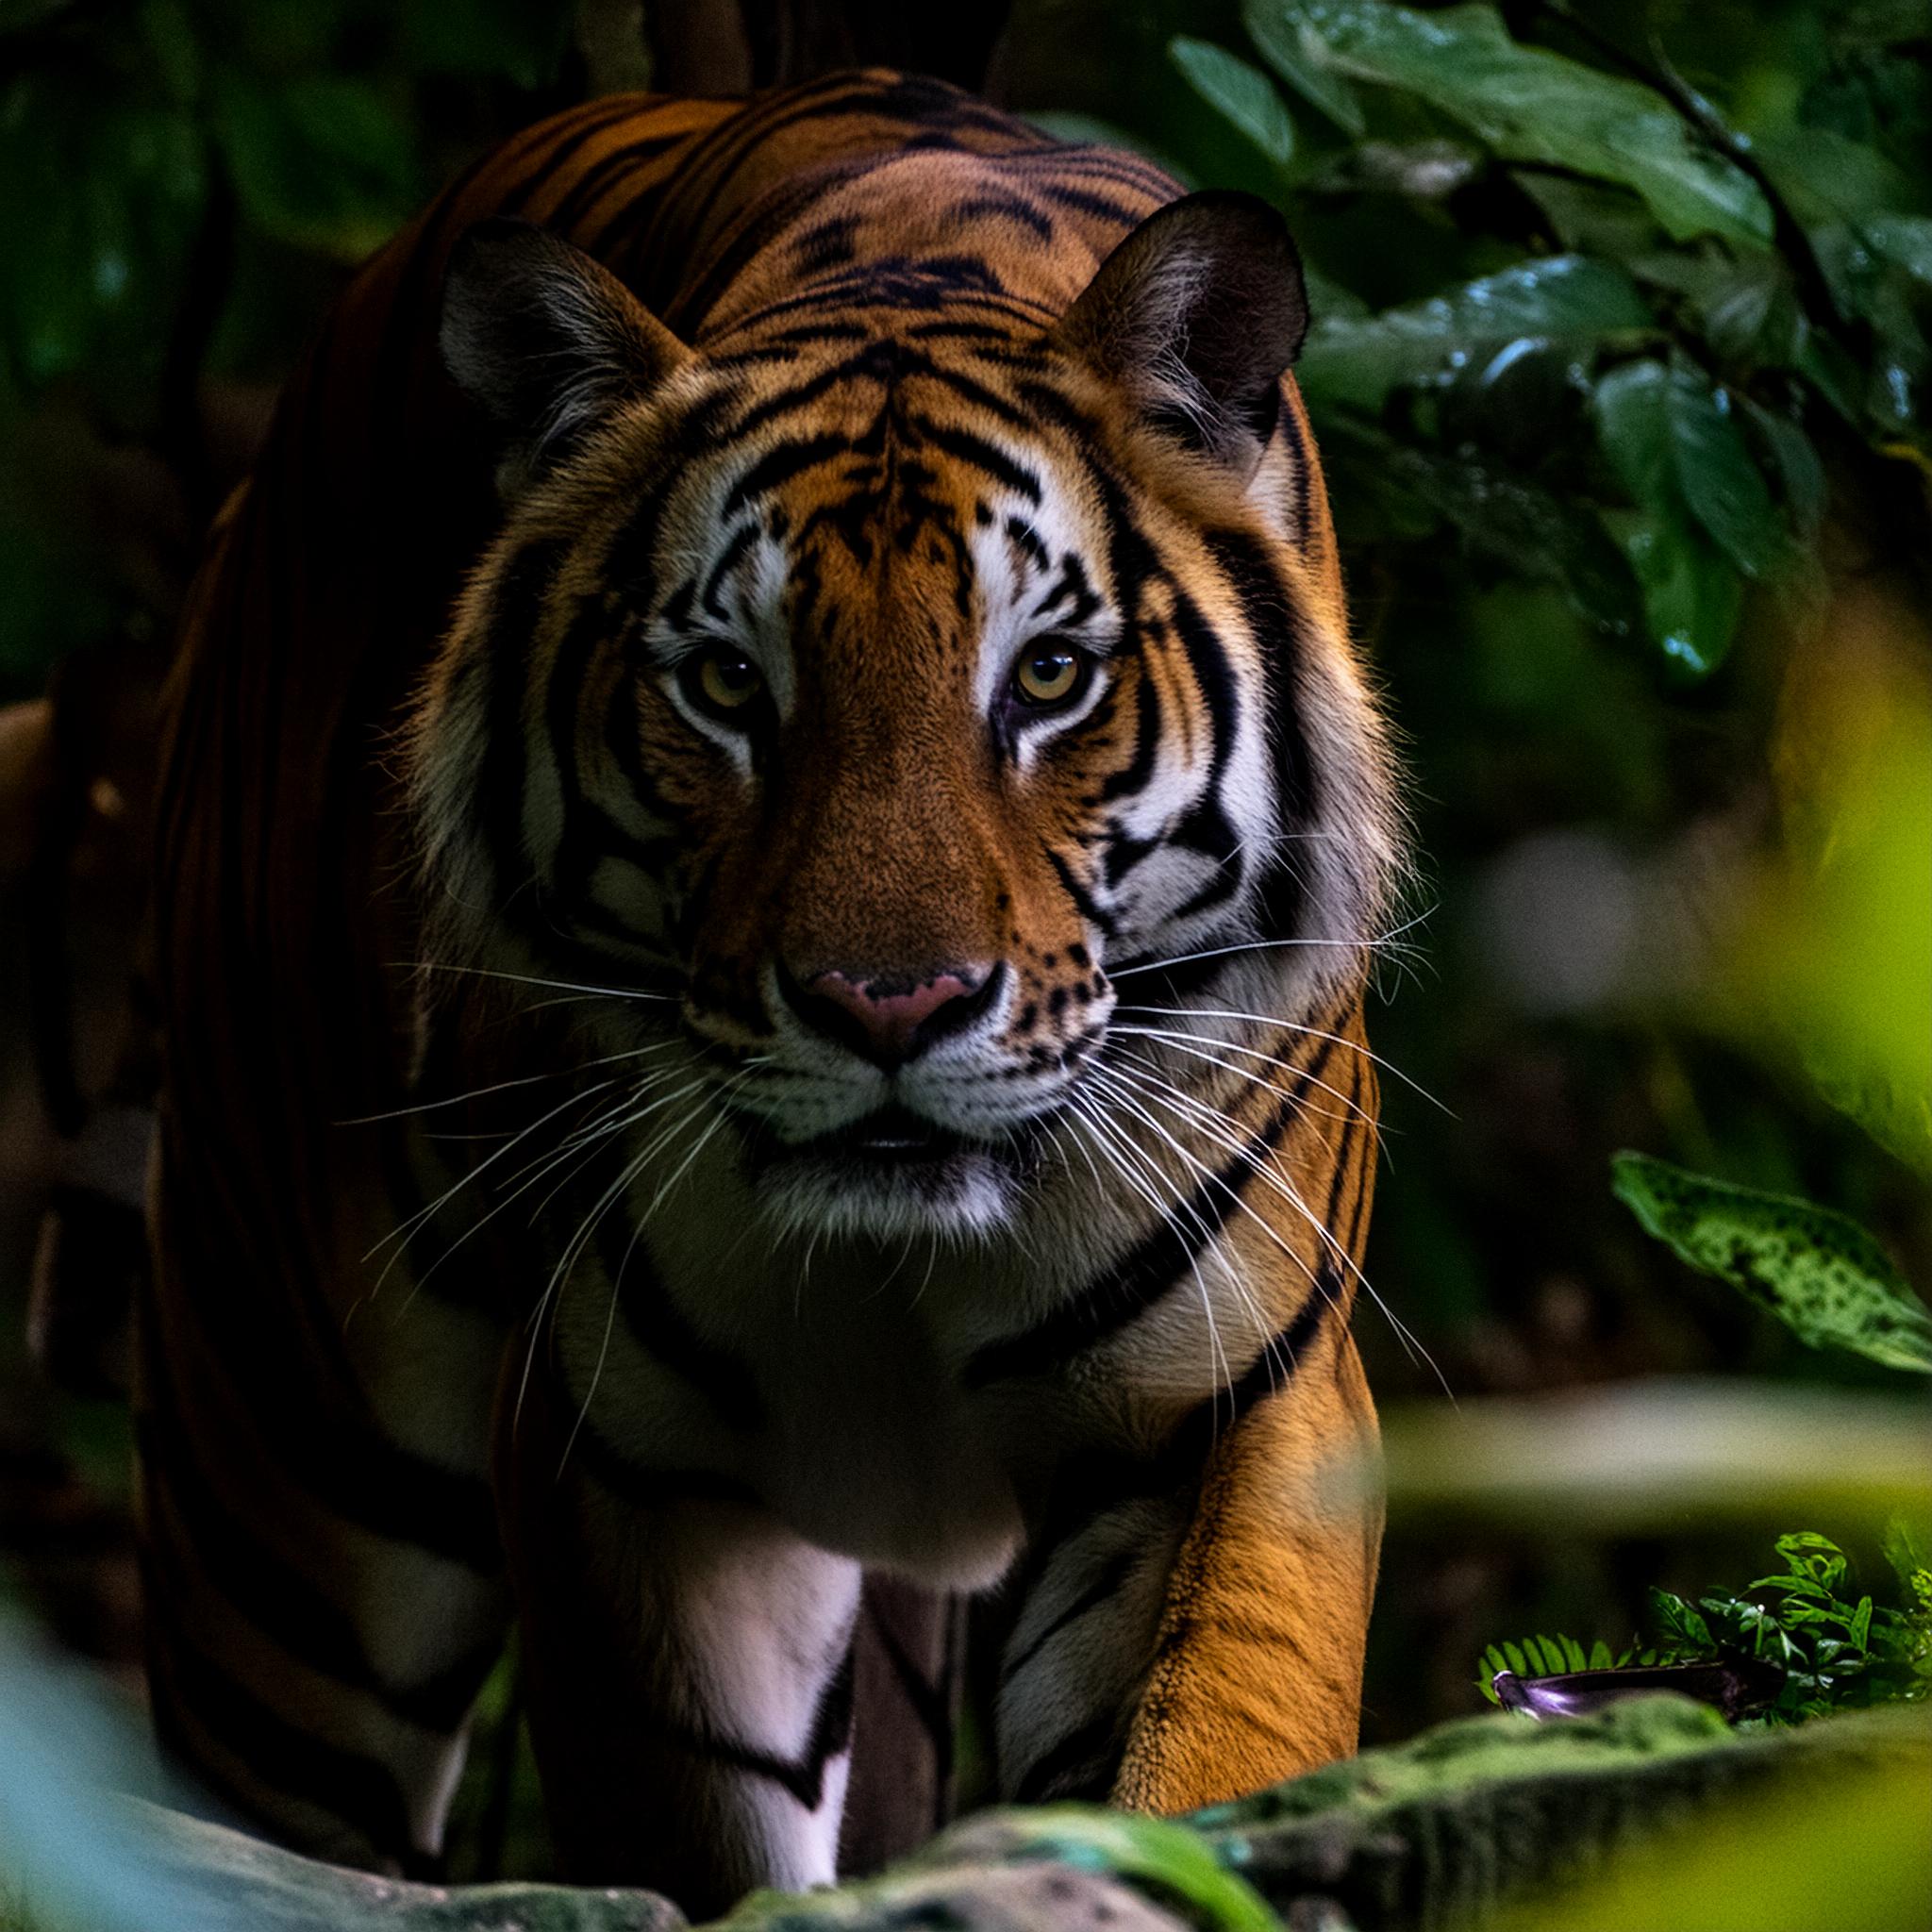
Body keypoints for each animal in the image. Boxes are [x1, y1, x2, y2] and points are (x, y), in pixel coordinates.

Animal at [139, 68, 1404, 1914]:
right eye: (729, 683)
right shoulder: (612, 1463)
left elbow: (1203, 1767)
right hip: (288, 1487)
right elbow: (699, 1839)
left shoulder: (1231, 1415)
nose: (890, 1007)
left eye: (1048, 674)